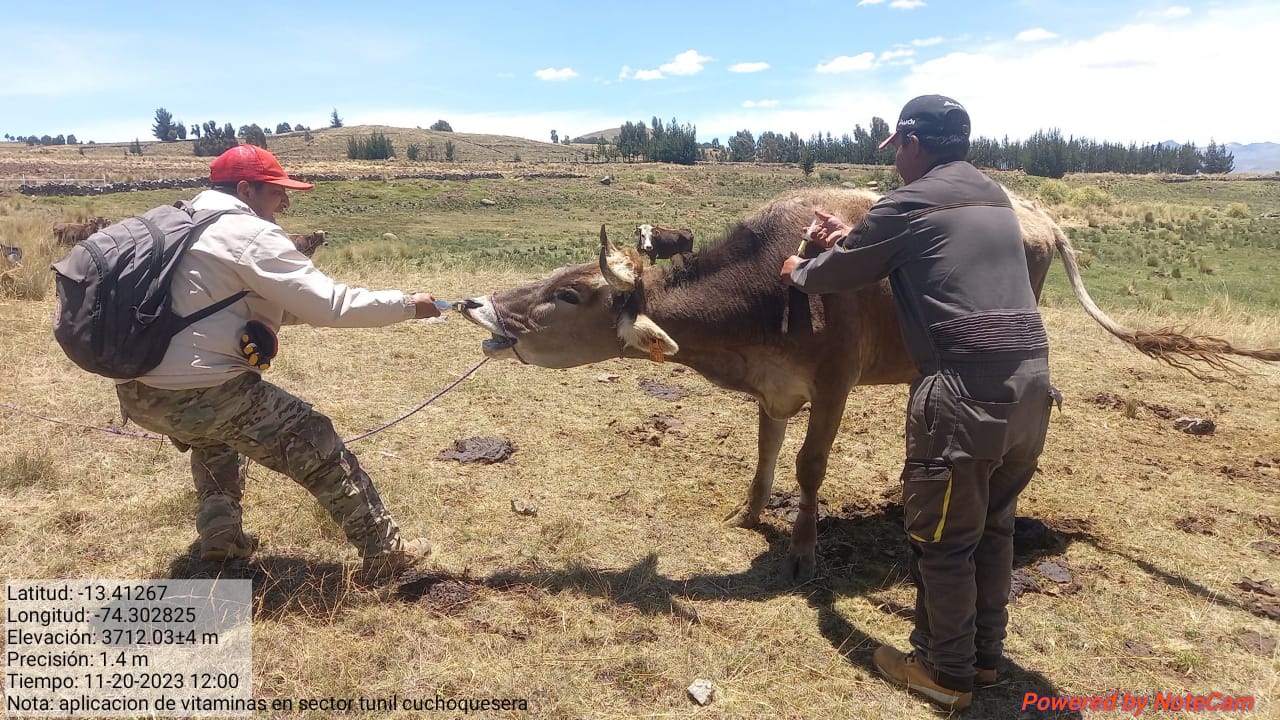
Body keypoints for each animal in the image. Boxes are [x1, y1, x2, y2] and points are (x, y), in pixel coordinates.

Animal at [460, 184, 1280, 576]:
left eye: (571, 294)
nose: (478, 304)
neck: (769, 288)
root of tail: (1039, 215)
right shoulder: (776, 388)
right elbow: (765, 453)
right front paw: (750, 513)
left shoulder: (834, 383)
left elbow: (808, 464)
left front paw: (802, 548)